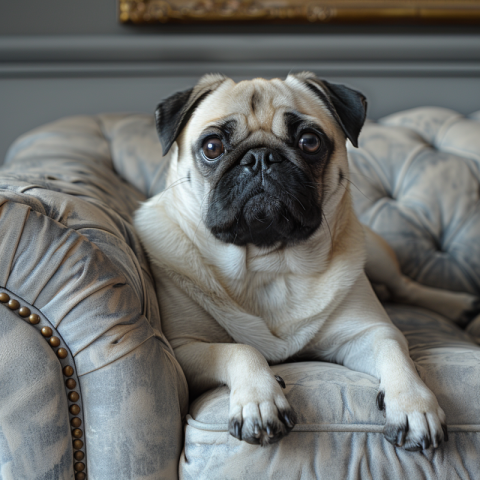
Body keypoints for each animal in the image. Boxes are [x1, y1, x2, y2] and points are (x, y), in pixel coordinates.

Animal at [133, 71, 478, 450]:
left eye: (309, 141)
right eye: (212, 147)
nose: (261, 158)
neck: (269, 262)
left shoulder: (369, 333)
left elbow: (396, 354)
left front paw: (414, 404)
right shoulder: (184, 348)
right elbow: (239, 349)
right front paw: (260, 399)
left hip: (376, 252)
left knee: (406, 286)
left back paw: (459, 305)